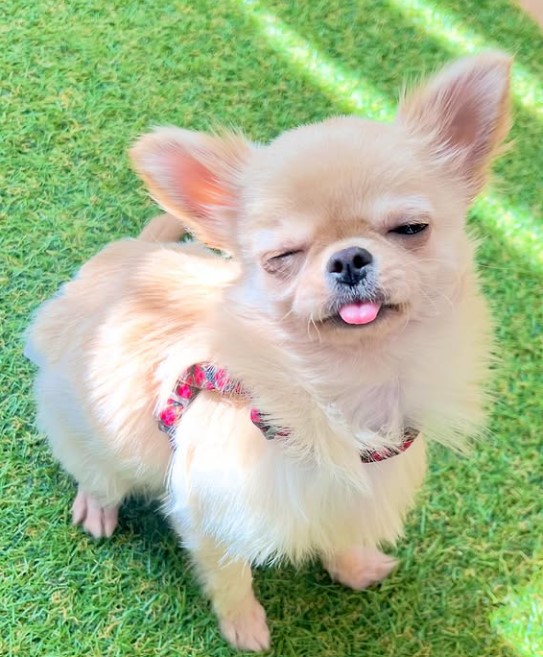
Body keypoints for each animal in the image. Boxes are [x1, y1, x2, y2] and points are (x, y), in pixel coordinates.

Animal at [26, 53, 511, 651]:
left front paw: (353, 566)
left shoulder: (349, 493)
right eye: (284, 256)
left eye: (410, 228)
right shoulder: (208, 513)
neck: (346, 390)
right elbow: (229, 575)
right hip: (89, 440)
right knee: (95, 474)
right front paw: (244, 626)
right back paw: (97, 504)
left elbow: (340, 532)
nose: (349, 258)